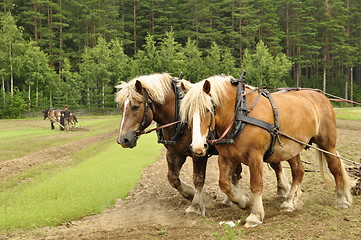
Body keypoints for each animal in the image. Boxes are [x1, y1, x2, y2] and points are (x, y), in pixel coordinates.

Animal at [179, 74, 352, 227]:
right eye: (187, 113)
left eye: (208, 110)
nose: (198, 147)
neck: (239, 113)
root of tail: (320, 95)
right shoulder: (226, 157)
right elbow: (224, 183)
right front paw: (243, 201)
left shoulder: (255, 156)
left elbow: (256, 185)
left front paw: (255, 215)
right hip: (292, 148)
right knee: (298, 171)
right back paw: (290, 202)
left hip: (327, 143)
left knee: (335, 166)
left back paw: (342, 199)